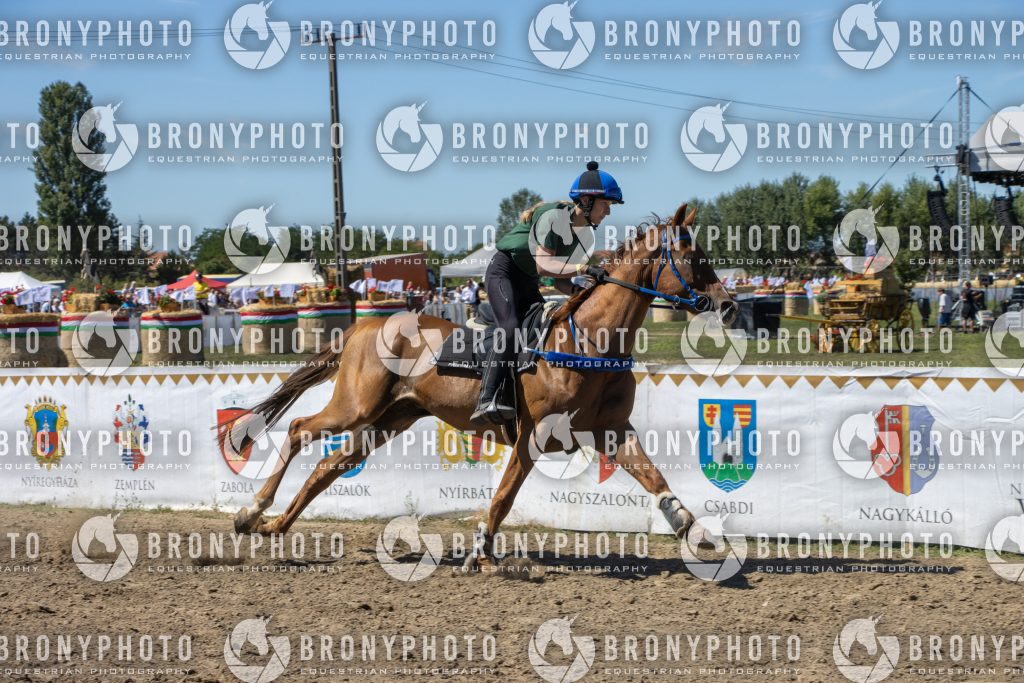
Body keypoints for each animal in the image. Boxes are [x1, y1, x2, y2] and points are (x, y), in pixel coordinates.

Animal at [225, 203, 737, 568]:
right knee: (297, 430)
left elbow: (656, 478)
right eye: (693, 257)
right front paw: (479, 548)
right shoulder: (532, 437)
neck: (589, 342)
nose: (729, 305)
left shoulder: (612, 430)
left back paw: (272, 526)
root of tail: (363, 326)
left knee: (328, 465)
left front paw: (692, 527)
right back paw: (253, 510)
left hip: (389, 419)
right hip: (356, 406)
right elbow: (505, 495)